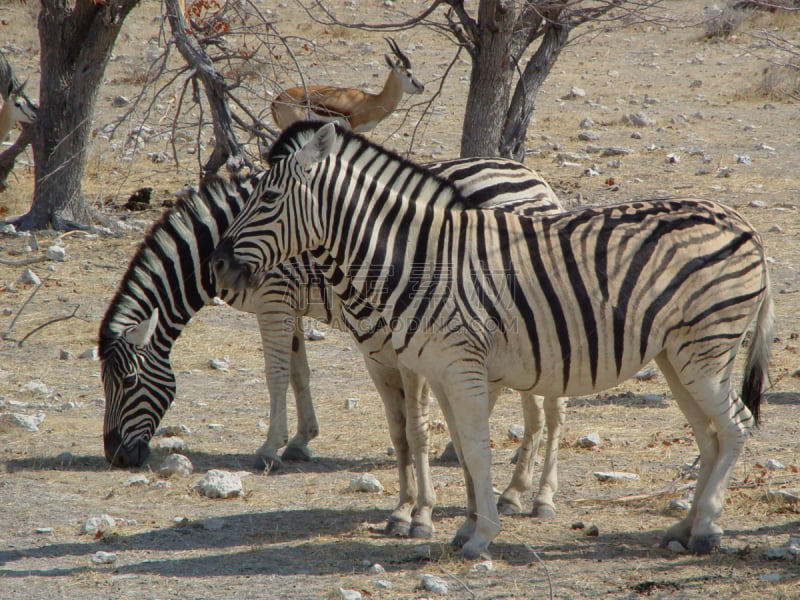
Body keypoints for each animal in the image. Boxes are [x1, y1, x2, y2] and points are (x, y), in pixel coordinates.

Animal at [98, 152, 564, 536]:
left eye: (128, 381)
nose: (115, 457)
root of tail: (537, 180)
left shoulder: (274, 298)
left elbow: (276, 374)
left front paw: (270, 448)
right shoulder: (290, 304)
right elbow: (299, 372)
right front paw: (301, 439)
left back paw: (529, 491)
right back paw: (513, 487)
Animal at [212, 122, 776, 556]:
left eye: (267, 197)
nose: (217, 264)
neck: (419, 262)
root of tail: (743, 222)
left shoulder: (462, 369)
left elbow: (477, 451)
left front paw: (482, 535)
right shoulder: (439, 371)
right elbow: (459, 449)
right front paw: (462, 525)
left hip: (707, 351)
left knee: (737, 425)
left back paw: (706, 529)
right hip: (676, 357)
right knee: (710, 435)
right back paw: (683, 526)